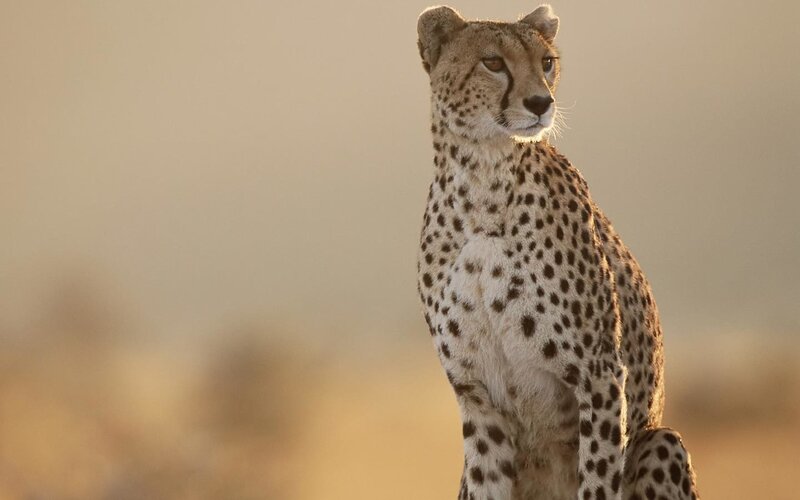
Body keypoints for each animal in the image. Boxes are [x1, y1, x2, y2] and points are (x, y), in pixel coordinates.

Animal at [415, 5, 699, 500]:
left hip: (660, 440)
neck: (481, 185)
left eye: (546, 62)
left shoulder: (599, 375)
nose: (540, 103)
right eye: (493, 62)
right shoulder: (477, 396)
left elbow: (597, 478)